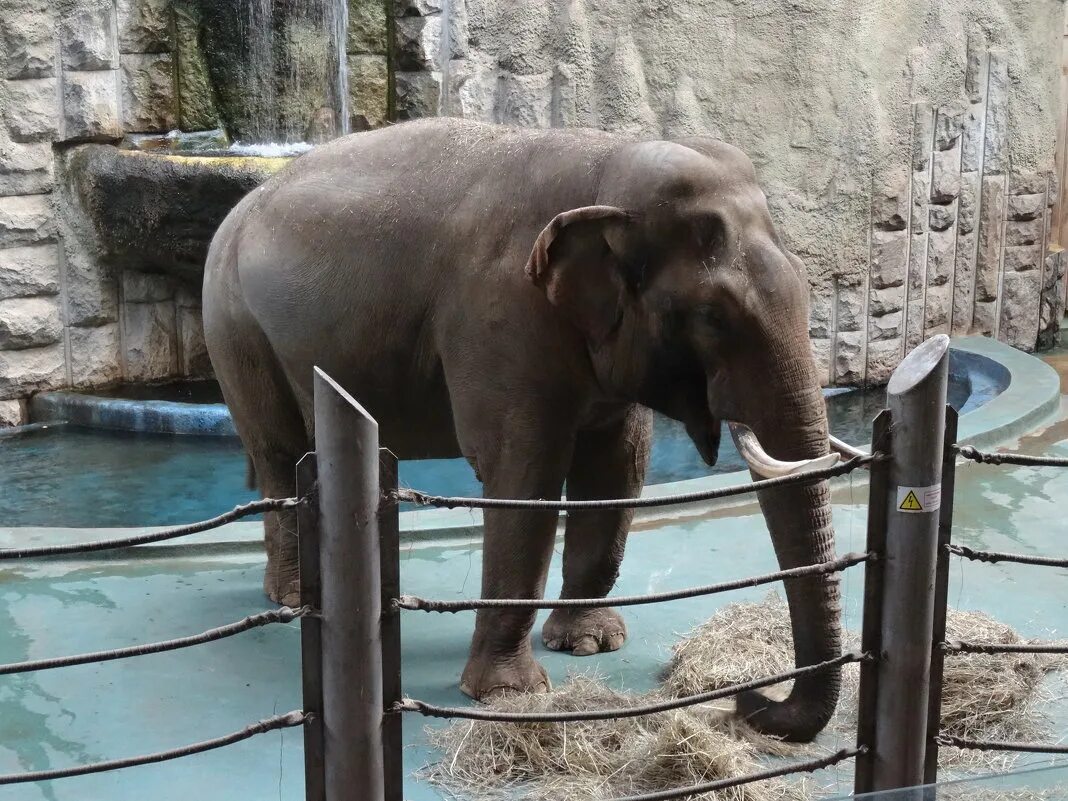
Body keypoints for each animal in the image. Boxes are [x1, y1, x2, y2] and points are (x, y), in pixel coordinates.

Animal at [201, 115, 841, 743]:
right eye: (712, 317)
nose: (746, 698)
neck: (608, 164)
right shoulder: (501, 318)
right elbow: (523, 477)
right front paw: (509, 696)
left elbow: (617, 469)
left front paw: (589, 645)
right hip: (235, 328)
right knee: (279, 452)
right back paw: (291, 597)